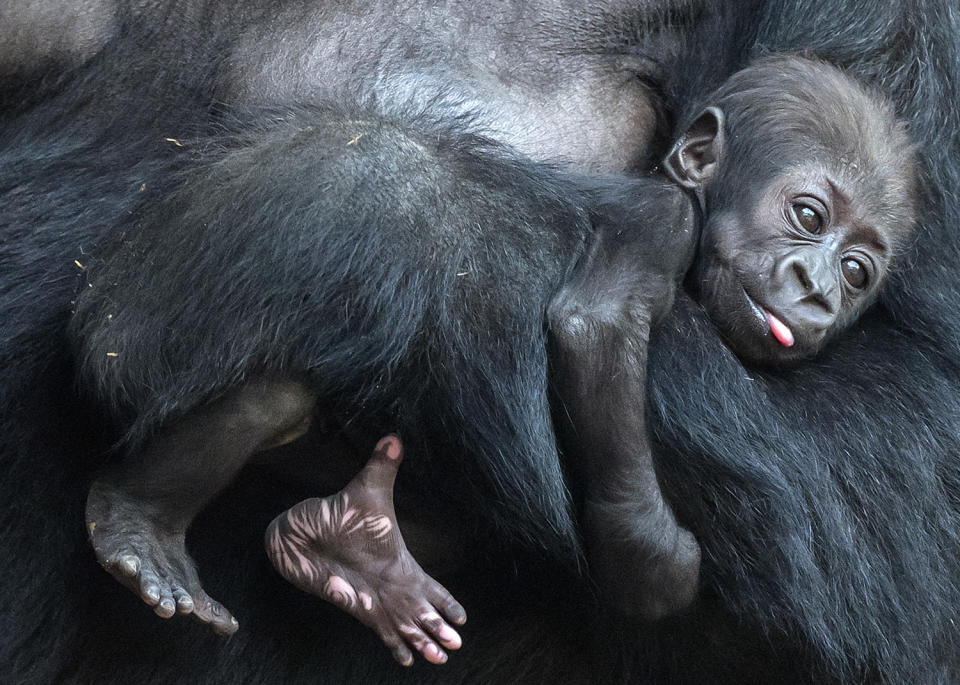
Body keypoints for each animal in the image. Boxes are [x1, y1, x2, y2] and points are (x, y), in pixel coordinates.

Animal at [1, 0, 960, 680]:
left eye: (859, 270)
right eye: (807, 214)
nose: (817, 289)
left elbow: (905, 452)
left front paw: (328, 198)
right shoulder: (668, 219)